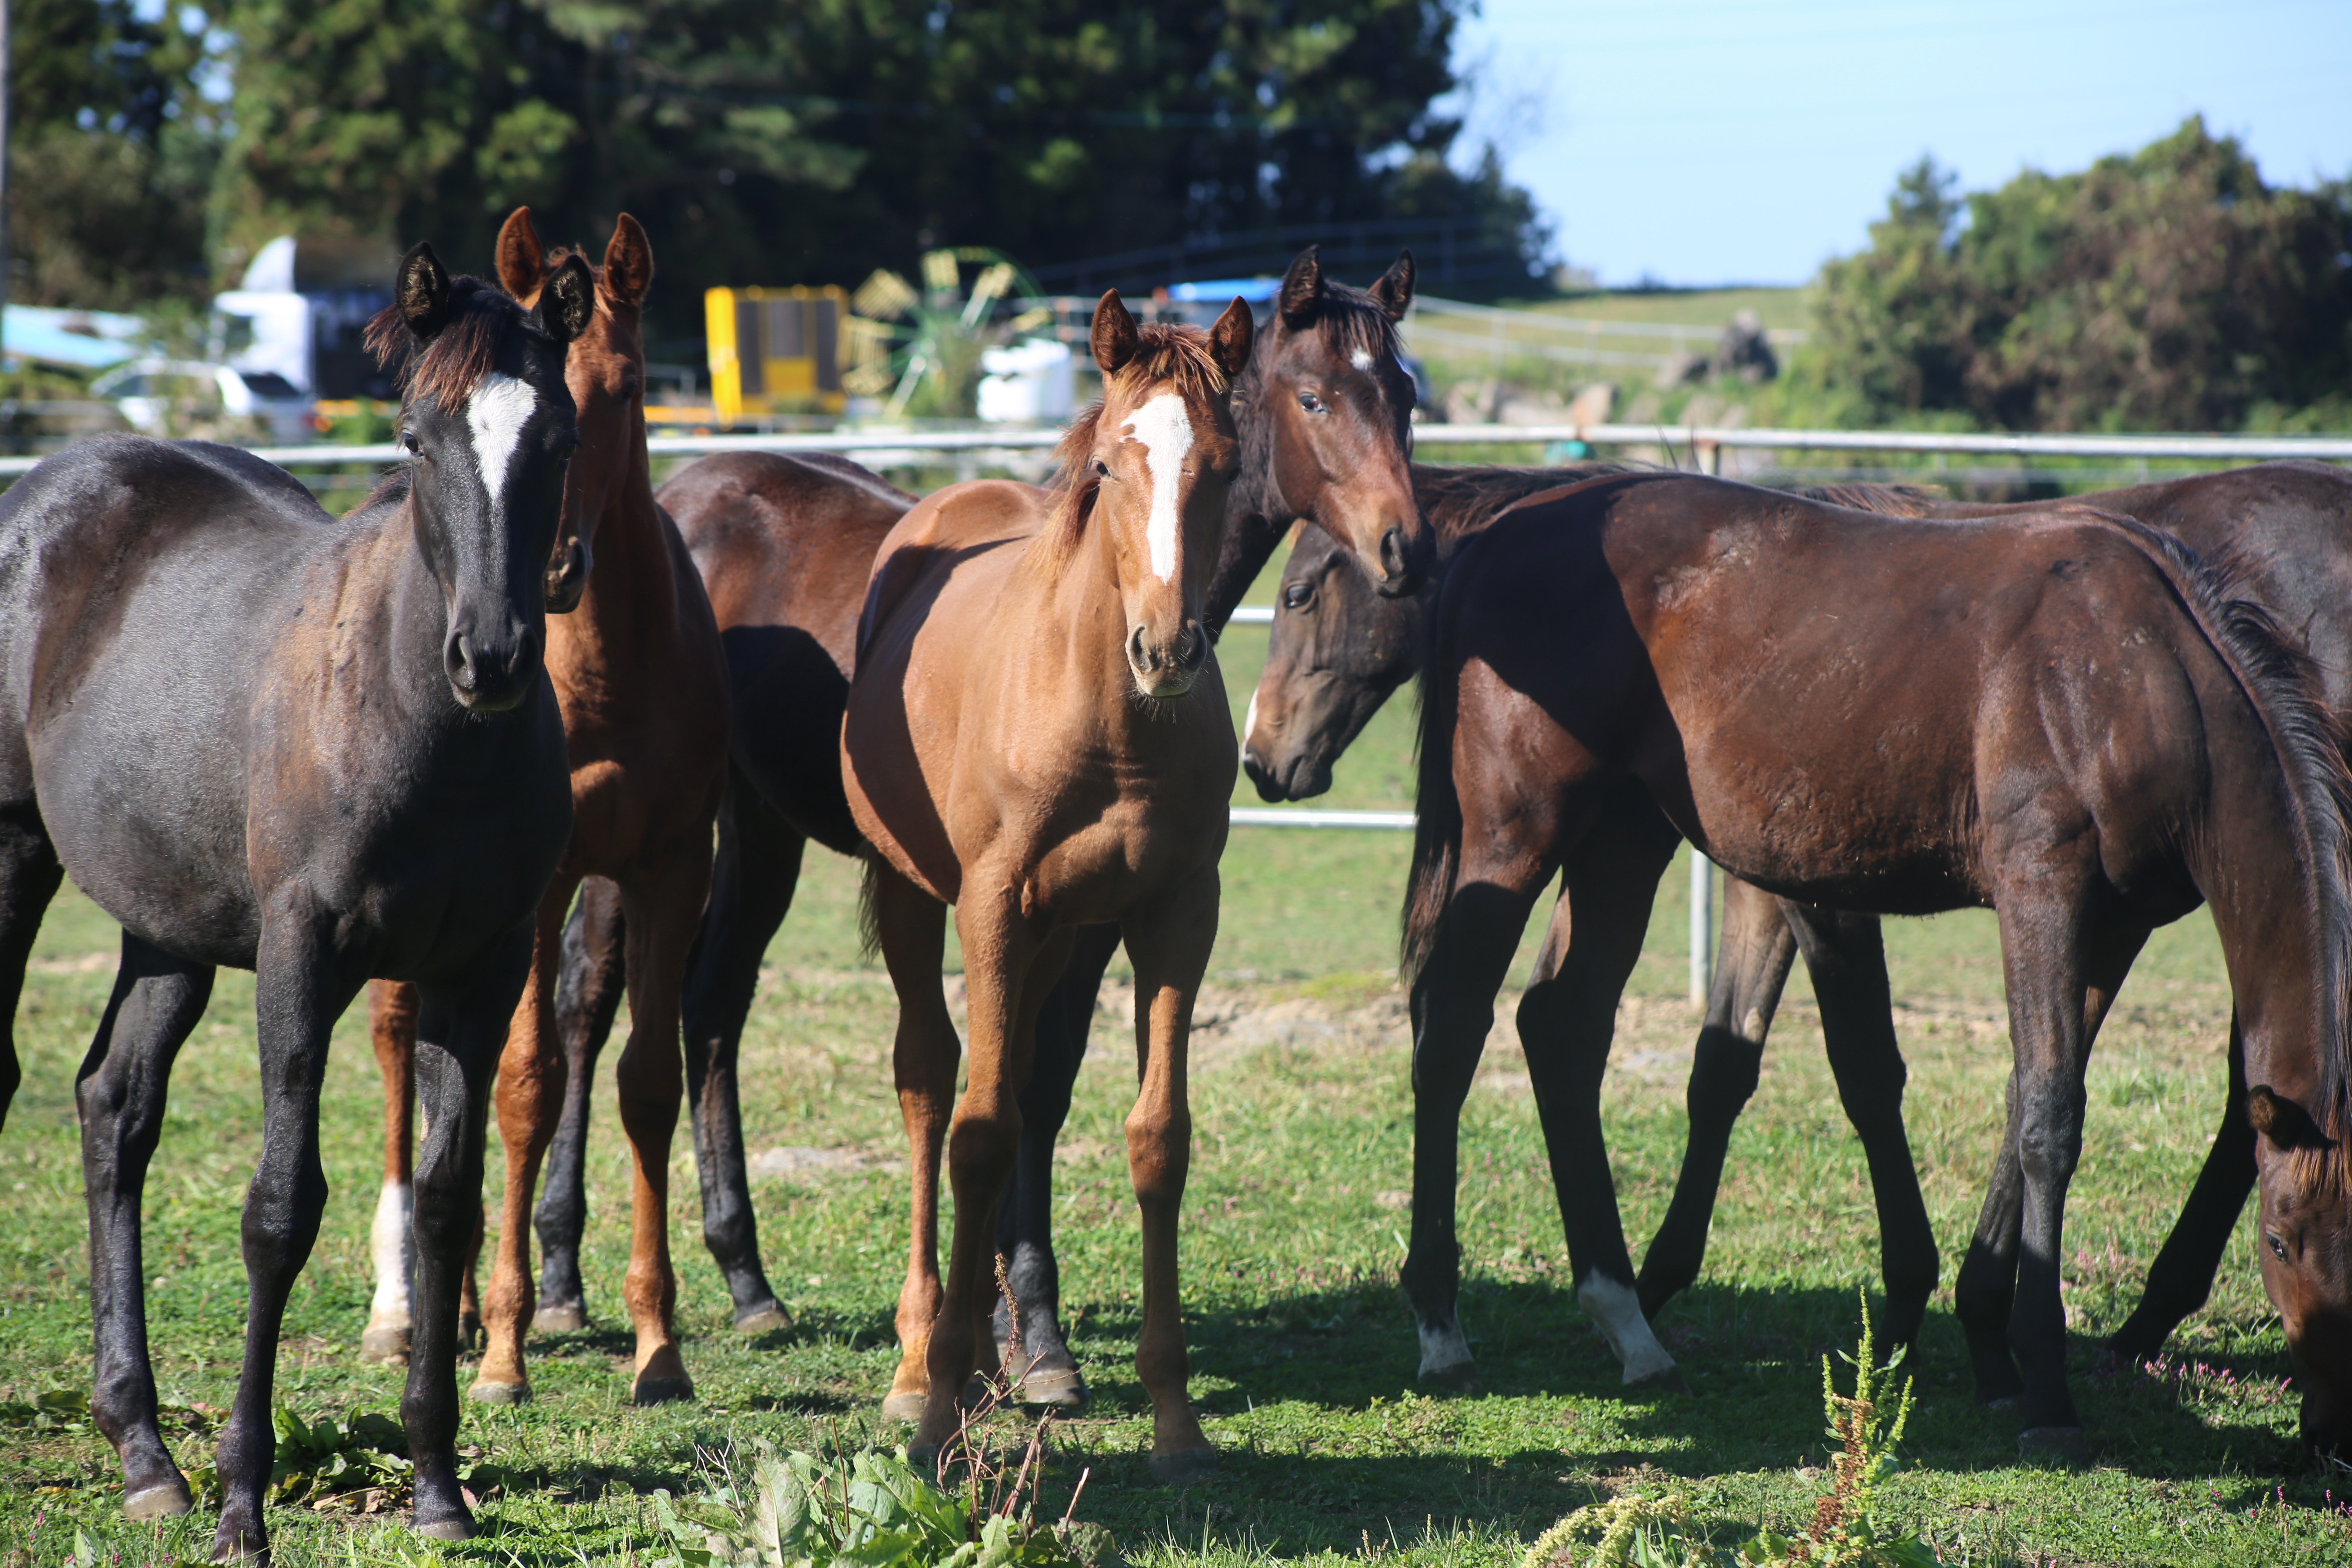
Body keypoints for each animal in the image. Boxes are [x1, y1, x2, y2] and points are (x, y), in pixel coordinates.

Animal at [0, 245, 592, 1561]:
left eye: (560, 437)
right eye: (417, 436)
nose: (491, 657)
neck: (415, 718)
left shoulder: (480, 967)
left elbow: (447, 1208)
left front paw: (438, 1485)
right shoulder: (300, 955)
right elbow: (280, 1209)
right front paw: (242, 1501)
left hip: (165, 925)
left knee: (114, 1107)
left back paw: (142, 1451)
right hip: (12, 859)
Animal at [353, 212, 724, 1410]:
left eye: (630, 388)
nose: (556, 568)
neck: (605, 675)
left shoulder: (670, 866)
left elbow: (644, 1082)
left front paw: (659, 1345)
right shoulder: (542, 883)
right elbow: (526, 1085)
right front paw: (507, 1351)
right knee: (401, 1045)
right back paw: (408, 1309)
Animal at [842, 297, 1251, 1486]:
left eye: (1226, 464)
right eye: (1112, 465)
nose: (1166, 649)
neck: (1110, 721)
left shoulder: (1175, 913)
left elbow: (1157, 1138)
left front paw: (1175, 1419)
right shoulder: (988, 906)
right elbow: (977, 1131)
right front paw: (934, 1409)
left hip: (1060, 936)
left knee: (1019, 1083)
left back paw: (989, 1358)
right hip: (917, 897)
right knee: (931, 1083)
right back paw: (920, 1362)